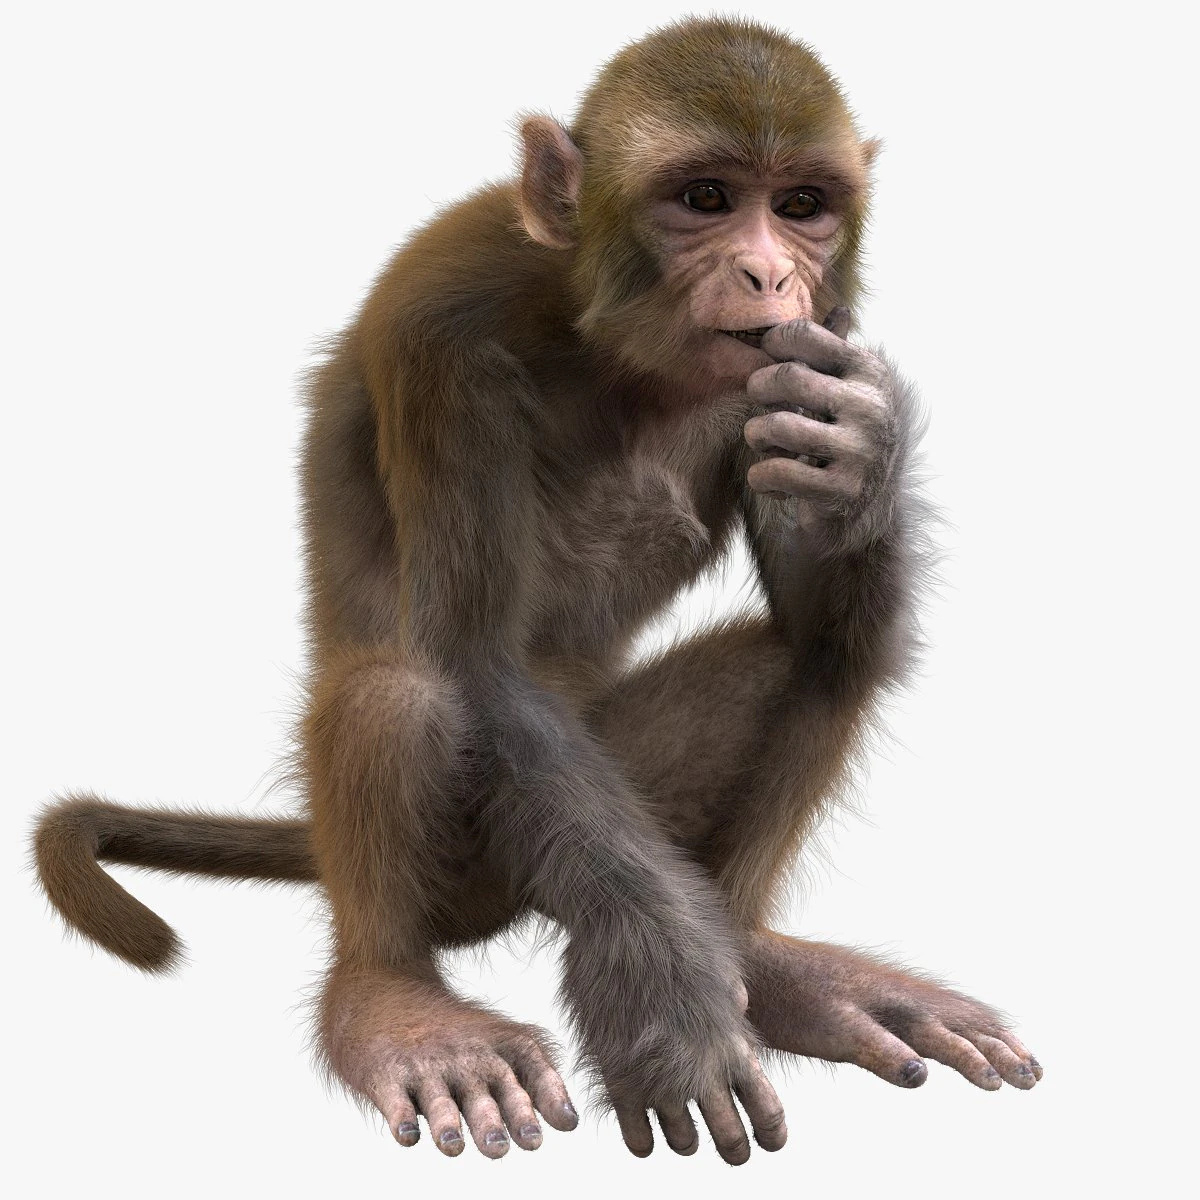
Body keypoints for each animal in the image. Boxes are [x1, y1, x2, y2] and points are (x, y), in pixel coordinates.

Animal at [32, 16, 1042, 1165]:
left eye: (800, 207)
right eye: (705, 198)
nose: (767, 273)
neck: (599, 336)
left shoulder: (823, 332)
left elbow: (818, 610)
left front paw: (860, 455)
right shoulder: (442, 323)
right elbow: (479, 662)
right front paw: (660, 1000)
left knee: (828, 650)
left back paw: (763, 962)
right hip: (480, 869)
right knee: (400, 689)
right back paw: (394, 1000)